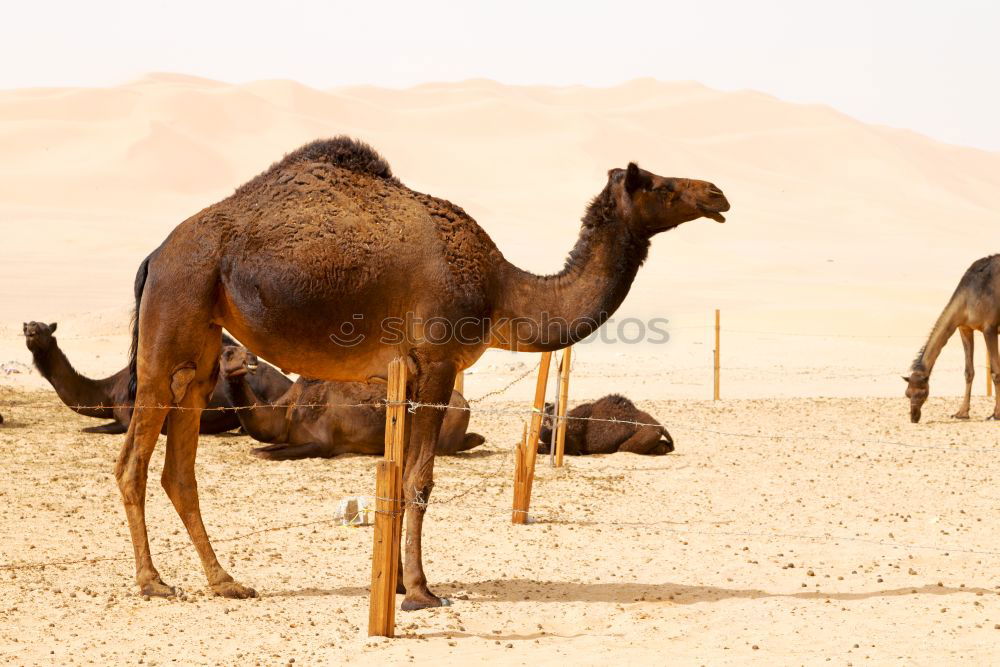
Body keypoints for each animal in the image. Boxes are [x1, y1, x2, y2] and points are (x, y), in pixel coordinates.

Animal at [23, 320, 292, 436]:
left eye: (45, 329)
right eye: (28, 326)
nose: (30, 328)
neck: (110, 390)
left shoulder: (127, 417)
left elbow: (92, 429)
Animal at [221, 344, 486, 460]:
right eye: (228, 353)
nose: (252, 358)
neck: (287, 411)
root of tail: (465, 403)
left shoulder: (321, 443)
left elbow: (265, 455)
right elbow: (261, 450)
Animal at [904, 256, 1000, 422]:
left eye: (922, 393)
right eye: (907, 394)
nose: (914, 417)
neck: (968, 298)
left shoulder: (990, 328)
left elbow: (995, 372)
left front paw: (996, 414)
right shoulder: (965, 328)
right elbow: (969, 372)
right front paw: (961, 413)